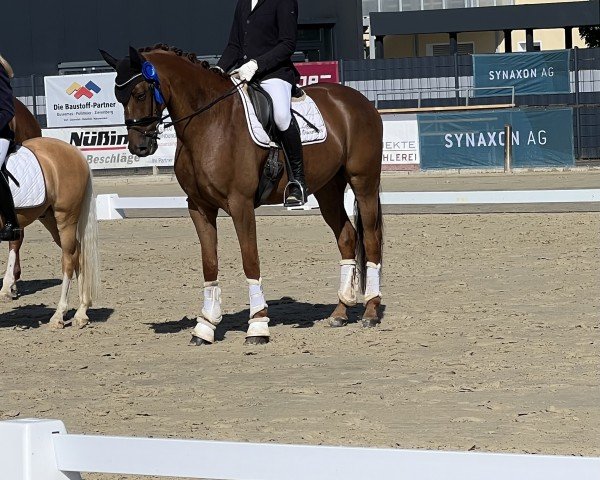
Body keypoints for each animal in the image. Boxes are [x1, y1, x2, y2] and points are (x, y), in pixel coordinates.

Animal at [0, 137, 99, 328]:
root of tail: (74, 152)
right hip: (50, 218)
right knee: (78, 254)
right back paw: (81, 312)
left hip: (66, 218)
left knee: (68, 260)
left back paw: (59, 315)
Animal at [102, 46, 384, 344]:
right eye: (118, 97)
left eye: (140, 93)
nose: (139, 147)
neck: (209, 123)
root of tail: (359, 100)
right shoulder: (199, 207)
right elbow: (209, 263)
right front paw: (205, 326)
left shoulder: (241, 204)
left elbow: (250, 260)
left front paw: (258, 325)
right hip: (328, 189)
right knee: (347, 237)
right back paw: (340, 312)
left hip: (363, 182)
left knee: (371, 238)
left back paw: (370, 311)